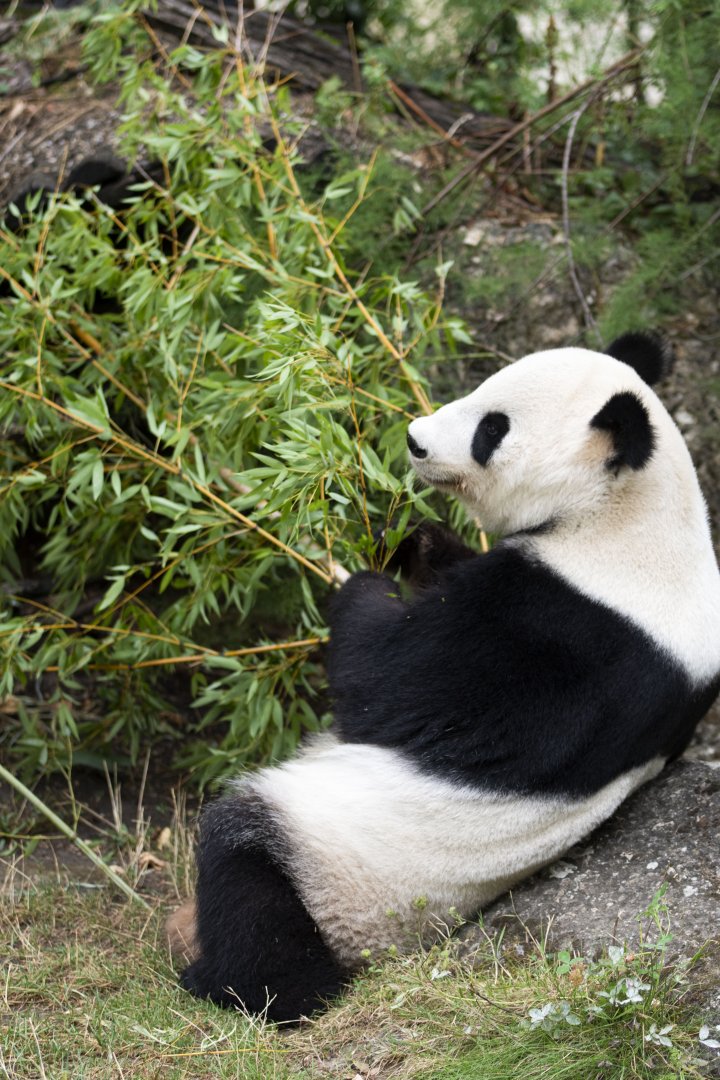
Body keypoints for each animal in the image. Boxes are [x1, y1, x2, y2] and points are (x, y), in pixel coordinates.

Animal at [167, 332, 720, 1023]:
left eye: (492, 428)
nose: (414, 439)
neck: (625, 513)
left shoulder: (564, 630)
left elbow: (385, 685)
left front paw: (359, 579)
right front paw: (407, 538)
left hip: (344, 871)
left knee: (245, 863)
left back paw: (239, 985)